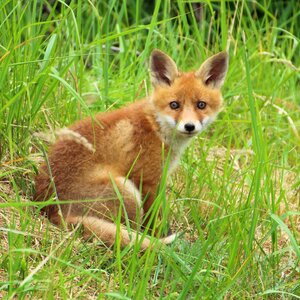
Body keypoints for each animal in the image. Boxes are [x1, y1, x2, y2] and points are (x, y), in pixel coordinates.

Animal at [34, 49, 229, 250]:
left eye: (201, 105)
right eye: (174, 105)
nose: (189, 126)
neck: (156, 126)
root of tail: (54, 211)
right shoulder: (148, 180)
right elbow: (155, 219)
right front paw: (160, 236)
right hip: (128, 191)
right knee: (131, 230)